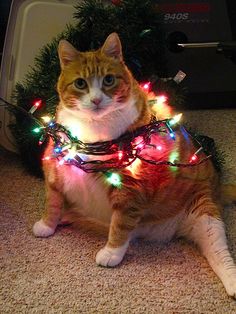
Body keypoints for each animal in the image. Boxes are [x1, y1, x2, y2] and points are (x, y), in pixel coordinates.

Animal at [32, 32, 236, 300]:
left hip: (205, 215)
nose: (96, 100)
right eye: (80, 83)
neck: (92, 134)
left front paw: (111, 253)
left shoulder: (130, 190)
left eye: (108, 80)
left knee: (219, 251)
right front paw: (47, 225)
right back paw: (68, 216)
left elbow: (120, 225)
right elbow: (52, 203)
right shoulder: (56, 173)